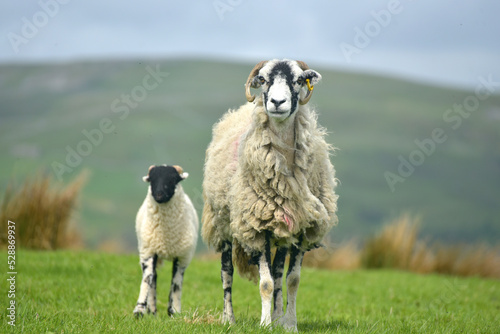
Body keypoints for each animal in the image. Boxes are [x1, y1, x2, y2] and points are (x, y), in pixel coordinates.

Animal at [134, 166, 198, 318]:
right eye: (152, 179)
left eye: (173, 179)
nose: (159, 194)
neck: (167, 237)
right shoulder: (148, 252)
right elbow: (147, 279)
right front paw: (139, 310)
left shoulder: (182, 257)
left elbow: (176, 284)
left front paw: (174, 311)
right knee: (153, 278)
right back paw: (152, 311)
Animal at [201, 58, 338, 332]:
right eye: (262, 79)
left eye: (299, 80)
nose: (276, 102)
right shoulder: (257, 229)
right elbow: (265, 284)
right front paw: (265, 325)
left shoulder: (302, 230)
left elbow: (291, 280)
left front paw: (289, 324)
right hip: (224, 224)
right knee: (226, 273)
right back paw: (229, 318)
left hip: (283, 229)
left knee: (276, 273)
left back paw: (277, 316)